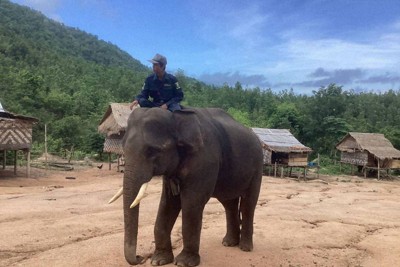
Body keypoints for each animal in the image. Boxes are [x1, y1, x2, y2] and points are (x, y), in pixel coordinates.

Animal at [109, 108, 264, 266]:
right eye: (123, 148)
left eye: (152, 151)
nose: (140, 257)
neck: (176, 116)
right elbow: (168, 203)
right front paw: (159, 260)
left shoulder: (205, 158)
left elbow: (192, 201)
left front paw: (183, 262)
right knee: (229, 203)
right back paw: (229, 243)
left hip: (257, 167)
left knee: (248, 204)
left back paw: (245, 247)